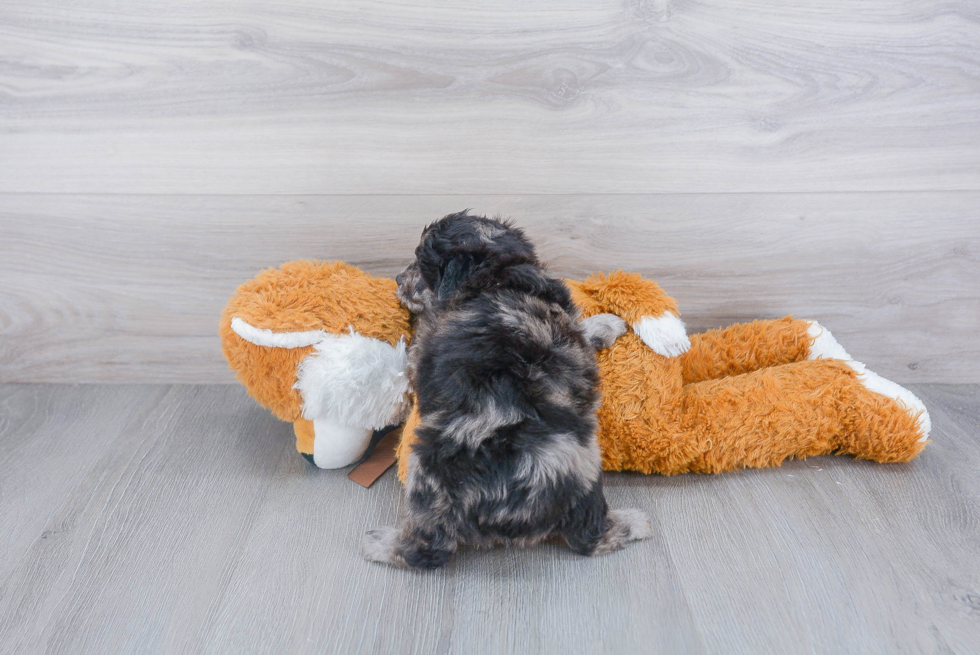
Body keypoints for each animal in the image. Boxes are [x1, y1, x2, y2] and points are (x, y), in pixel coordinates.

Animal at [360, 211, 652, 568]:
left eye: (420, 264)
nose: (398, 279)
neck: (494, 277)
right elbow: (580, 327)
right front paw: (608, 322)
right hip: (585, 472)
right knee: (593, 537)